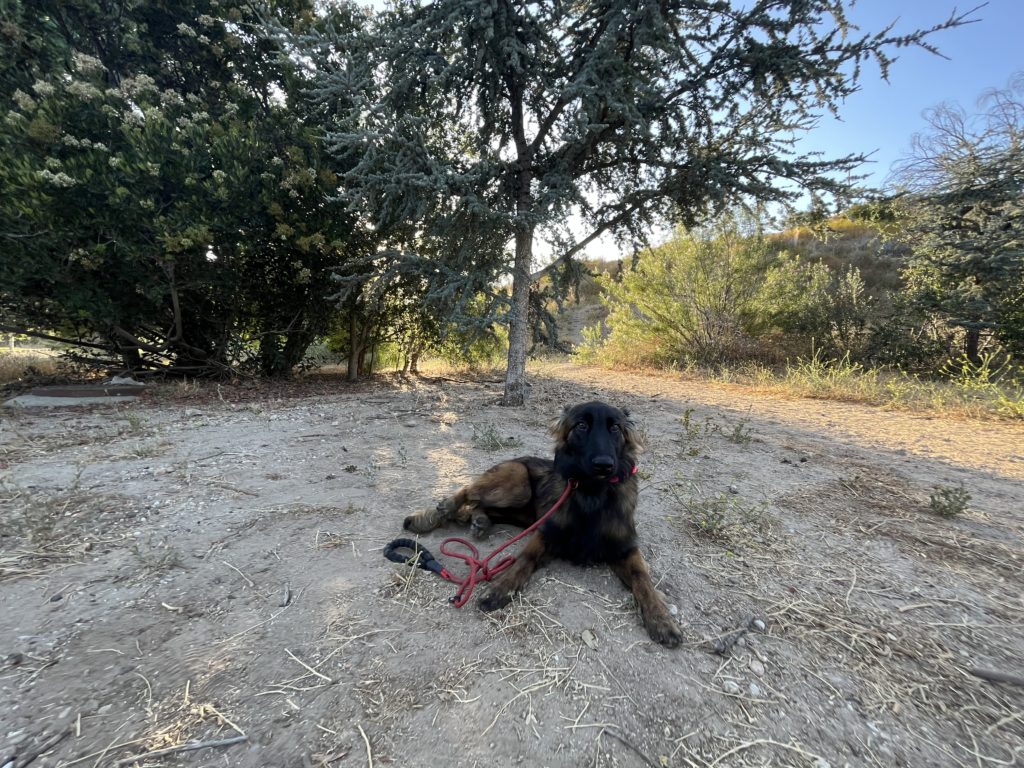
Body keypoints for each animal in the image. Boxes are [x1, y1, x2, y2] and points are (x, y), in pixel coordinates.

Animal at [403, 401, 682, 647]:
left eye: (615, 428)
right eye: (581, 425)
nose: (604, 465)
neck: (592, 492)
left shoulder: (625, 548)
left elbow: (643, 580)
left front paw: (661, 618)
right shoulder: (545, 533)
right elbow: (523, 560)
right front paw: (499, 589)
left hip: (521, 510)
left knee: (480, 508)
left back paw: (480, 520)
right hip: (517, 484)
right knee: (469, 491)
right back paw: (447, 507)